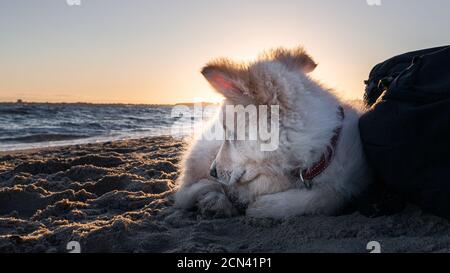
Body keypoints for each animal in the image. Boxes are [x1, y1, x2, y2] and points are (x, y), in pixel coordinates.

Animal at [174, 45, 370, 218]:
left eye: (231, 135)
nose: (212, 171)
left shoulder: (352, 178)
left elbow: (331, 195)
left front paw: (266, 205)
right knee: (187, 191)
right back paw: (215, 202)